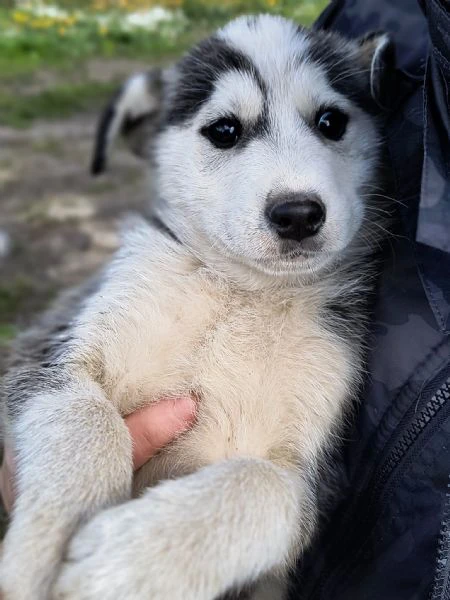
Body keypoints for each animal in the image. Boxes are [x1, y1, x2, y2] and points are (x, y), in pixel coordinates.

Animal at [0, 12, 394, 600]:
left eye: (331, 121)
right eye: (225, 130)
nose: (298, 213)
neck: (242, 293)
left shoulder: (318, 476)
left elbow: (263, 484)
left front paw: (126, 559)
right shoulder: (45, 352)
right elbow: (90, 419)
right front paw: (43, 548)